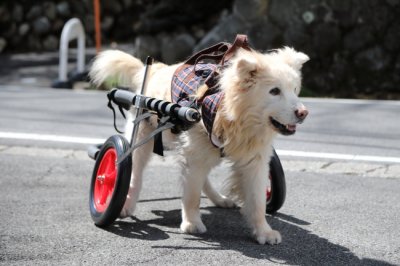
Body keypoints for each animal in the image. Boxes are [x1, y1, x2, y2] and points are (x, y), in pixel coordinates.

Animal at [90, 44, 310, 244]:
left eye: (295, 90)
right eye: (274, 91)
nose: (303, 113)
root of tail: (158, 68)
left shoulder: (253, 162)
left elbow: (257, 202)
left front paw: (263, 232)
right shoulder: (195, 155)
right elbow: (192, 194)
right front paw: (191, 224)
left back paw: (220, 199)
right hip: (142, 139)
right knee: (134, 172)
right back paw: (125, 204)